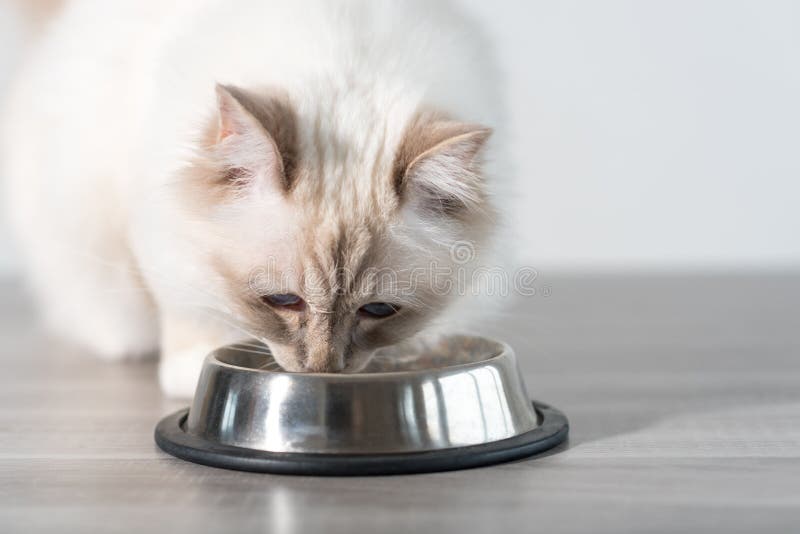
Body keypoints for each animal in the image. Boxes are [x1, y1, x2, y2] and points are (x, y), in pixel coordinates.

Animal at [1, 0, 506, 398]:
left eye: (378, 311)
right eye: (282, 300)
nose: (322, 370)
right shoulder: (163, 232)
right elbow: (190, 307)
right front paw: (193, 367)